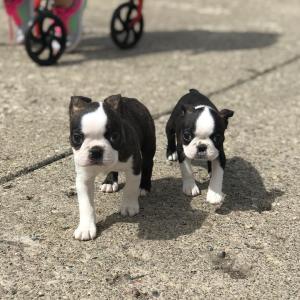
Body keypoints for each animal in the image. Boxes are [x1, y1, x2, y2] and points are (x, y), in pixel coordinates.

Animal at [69, 95, 156, 240]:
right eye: (77, 137)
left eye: (114, 136)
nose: (96, 150)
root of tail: (131, 99)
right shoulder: (83, 178)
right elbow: (86, 204)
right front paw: (86, 228)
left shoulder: (134, 167)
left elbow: (130, 188)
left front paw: (128, 206)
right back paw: (109, 182)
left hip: (148, 143)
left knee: (148, 163)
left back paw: (144, 186)